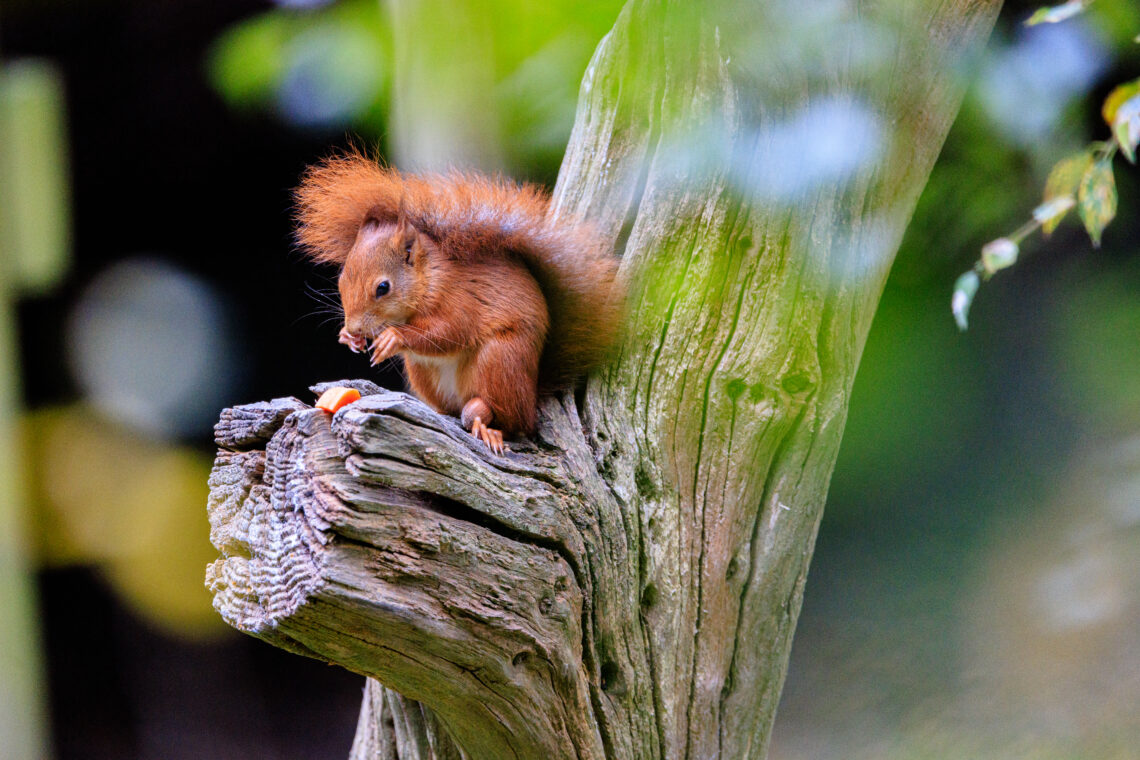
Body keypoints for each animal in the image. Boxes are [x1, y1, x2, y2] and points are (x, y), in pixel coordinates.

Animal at [289, 151, 620, 455]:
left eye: (383, 287)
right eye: (342, 279)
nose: (355, 327)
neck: (429, 281)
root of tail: (532, 388)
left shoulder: (461, 301)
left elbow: (449, 332)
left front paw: (393, 337)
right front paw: (348, 338)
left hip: (501, 360)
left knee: (510, 420)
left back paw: (487, 427)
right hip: (422, 370)